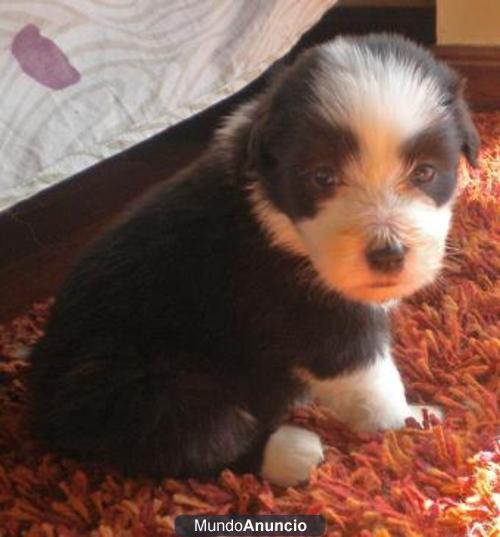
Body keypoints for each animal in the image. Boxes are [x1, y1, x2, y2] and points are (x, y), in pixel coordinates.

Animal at [28, 33, 480, 486]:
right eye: (323, 176)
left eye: (425, 172)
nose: (389, 253)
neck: (278, 220)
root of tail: (41, 397)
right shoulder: (311, 311)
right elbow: (371, 378)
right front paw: (410, 427)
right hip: (134, 381)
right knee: (193, 436)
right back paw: (292, 452)